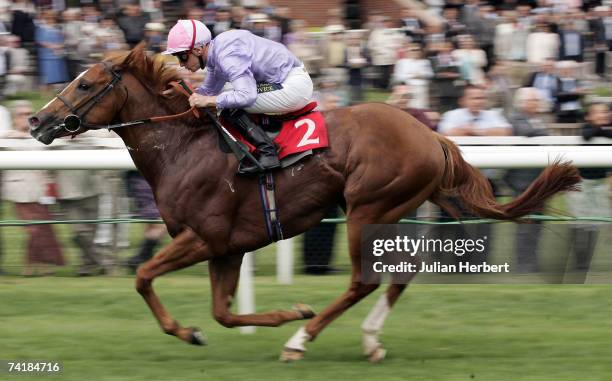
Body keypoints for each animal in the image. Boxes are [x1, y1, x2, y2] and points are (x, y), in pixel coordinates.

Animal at [28, 44, 580, 360]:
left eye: (86, 82)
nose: (36, 120)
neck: (184, 147)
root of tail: (430, 134)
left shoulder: (203, 237)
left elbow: (144, 277)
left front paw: (195, 330)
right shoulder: (227, 247)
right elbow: (223, 313)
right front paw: (273, 315)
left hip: (367, 208)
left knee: (364, 280)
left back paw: (303, 340)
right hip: (388, 212)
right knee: (400, 273)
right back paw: (367, 340)